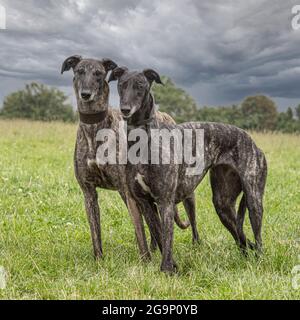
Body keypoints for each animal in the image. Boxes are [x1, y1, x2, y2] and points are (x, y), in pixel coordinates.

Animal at [60, 56, 199, 262]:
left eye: (98, 74)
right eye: (79, 71)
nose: (86, 94)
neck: (95, 128)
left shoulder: (126, 191)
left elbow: (139, 231)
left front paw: (146, 261)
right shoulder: (89, 192)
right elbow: (96, 232)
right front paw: (99, 261)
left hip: (186, 192)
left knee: (192, 221)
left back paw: (195, 245)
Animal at [109, 66, 268, 274]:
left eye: (141, 85)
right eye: (121, 85)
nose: (125, 109)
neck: (143, 140)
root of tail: (253, 142)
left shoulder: (165, 201)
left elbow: (167, 238)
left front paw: (167, 271)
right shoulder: (146, 203)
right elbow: (159, 236)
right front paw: (173, 268)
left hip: (253, 200)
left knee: (257, 239)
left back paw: (259, 262)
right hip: (223, 205)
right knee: (242, 241)